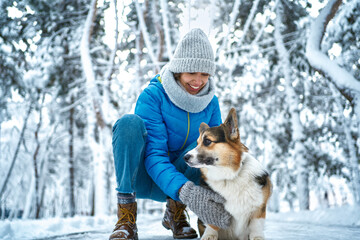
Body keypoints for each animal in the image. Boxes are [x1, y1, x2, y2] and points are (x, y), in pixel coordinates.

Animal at [184, 109, 272, 240]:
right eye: (197, 143)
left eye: (207, 141)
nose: (185, 157)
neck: (229, 176)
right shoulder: (210, 208)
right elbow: (212, 223)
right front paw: (209, 235)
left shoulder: (259, 208)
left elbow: (256, 225)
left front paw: (257, 237)